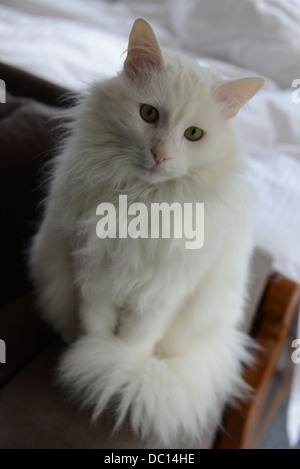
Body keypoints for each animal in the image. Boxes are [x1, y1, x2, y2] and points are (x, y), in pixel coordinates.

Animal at [29, 18, 264, 448]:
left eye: (193, 134)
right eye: (149, 113)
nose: (160, 154)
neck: (141, 202)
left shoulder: (160, 298)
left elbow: (132, 346)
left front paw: (112, 366)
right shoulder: (93, 279)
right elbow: (96, 329)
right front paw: (94, 356)